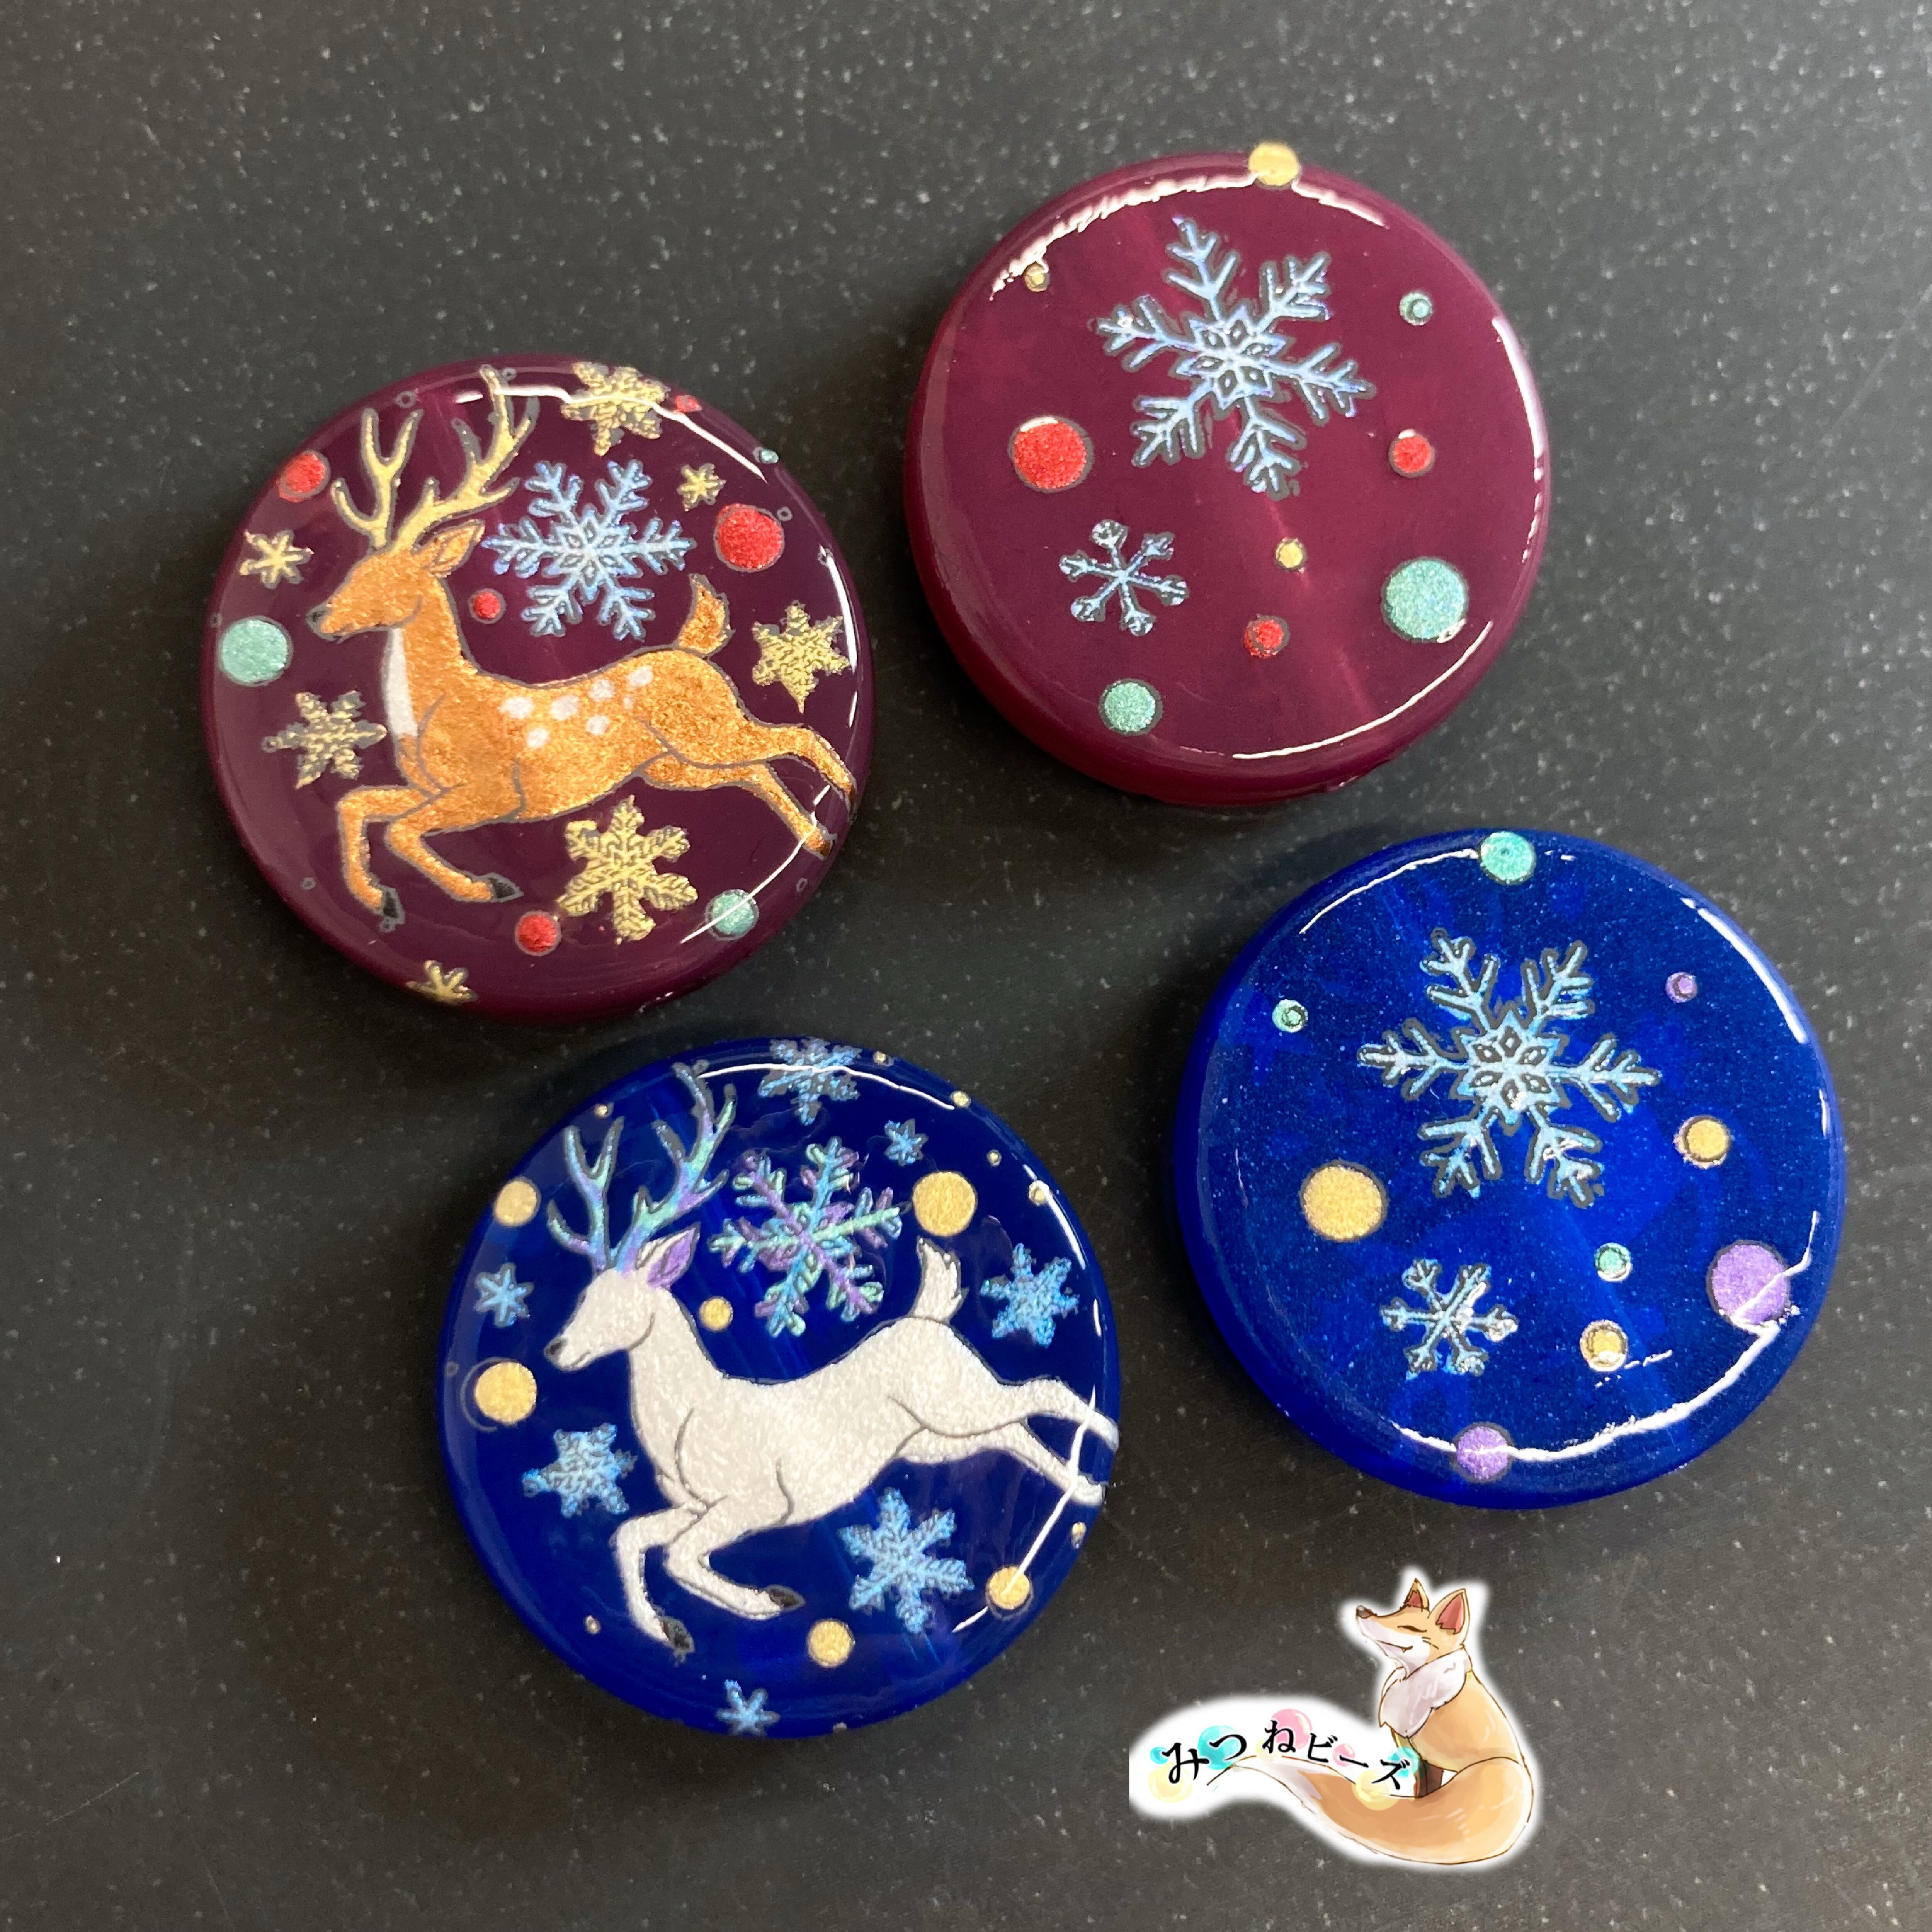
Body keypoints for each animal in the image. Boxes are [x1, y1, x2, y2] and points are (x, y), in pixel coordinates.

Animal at [309, 367, 856, 930]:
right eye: (355, 568)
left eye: (385, 580)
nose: (317, 617)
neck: (432, 706)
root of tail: (689, 650)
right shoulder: (428, 789)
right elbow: (357, 805)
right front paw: (379, 897)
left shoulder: (493, 793)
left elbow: (401, 830)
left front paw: (484, 888)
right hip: (673, 766)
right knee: (756, 771)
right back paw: (816, 835)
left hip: (711, 732)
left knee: (797, 736)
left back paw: (843, 795)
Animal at [538, 1065, 1118, 1655]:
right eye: (582, 1296)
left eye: (615, 1305)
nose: (554, 1350)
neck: (687, 1416)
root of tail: (926, 1316)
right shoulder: (694, 1506)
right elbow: (629, 1536)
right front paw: (665, 1629)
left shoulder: (758, 1501)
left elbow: (679, 1556)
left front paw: (769, 1600)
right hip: (935, 1438)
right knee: (1014, 1431)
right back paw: (1083, 1488)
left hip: (959, 1402)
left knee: (1043, 1392)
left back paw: (1104, 1449)